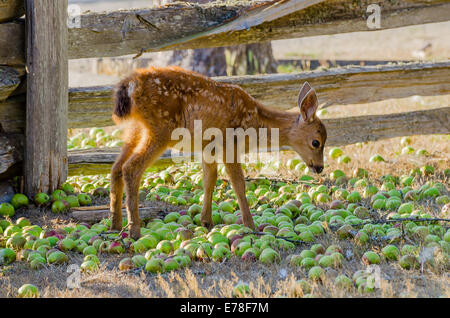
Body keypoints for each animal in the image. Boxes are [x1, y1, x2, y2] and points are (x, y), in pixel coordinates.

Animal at [109, 65, 326, 238]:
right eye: (316, 142)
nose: (319, 168)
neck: (256, 122)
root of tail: (130, 84)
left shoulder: (208, 148)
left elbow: (209, 180)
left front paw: (206, 221)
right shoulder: (230, 144)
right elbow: (239, 184)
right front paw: (250, 225)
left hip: (135, 129)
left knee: (116, 168)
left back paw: (115, 225)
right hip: (161, 129)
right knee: (131, 169)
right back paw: (134, 230)